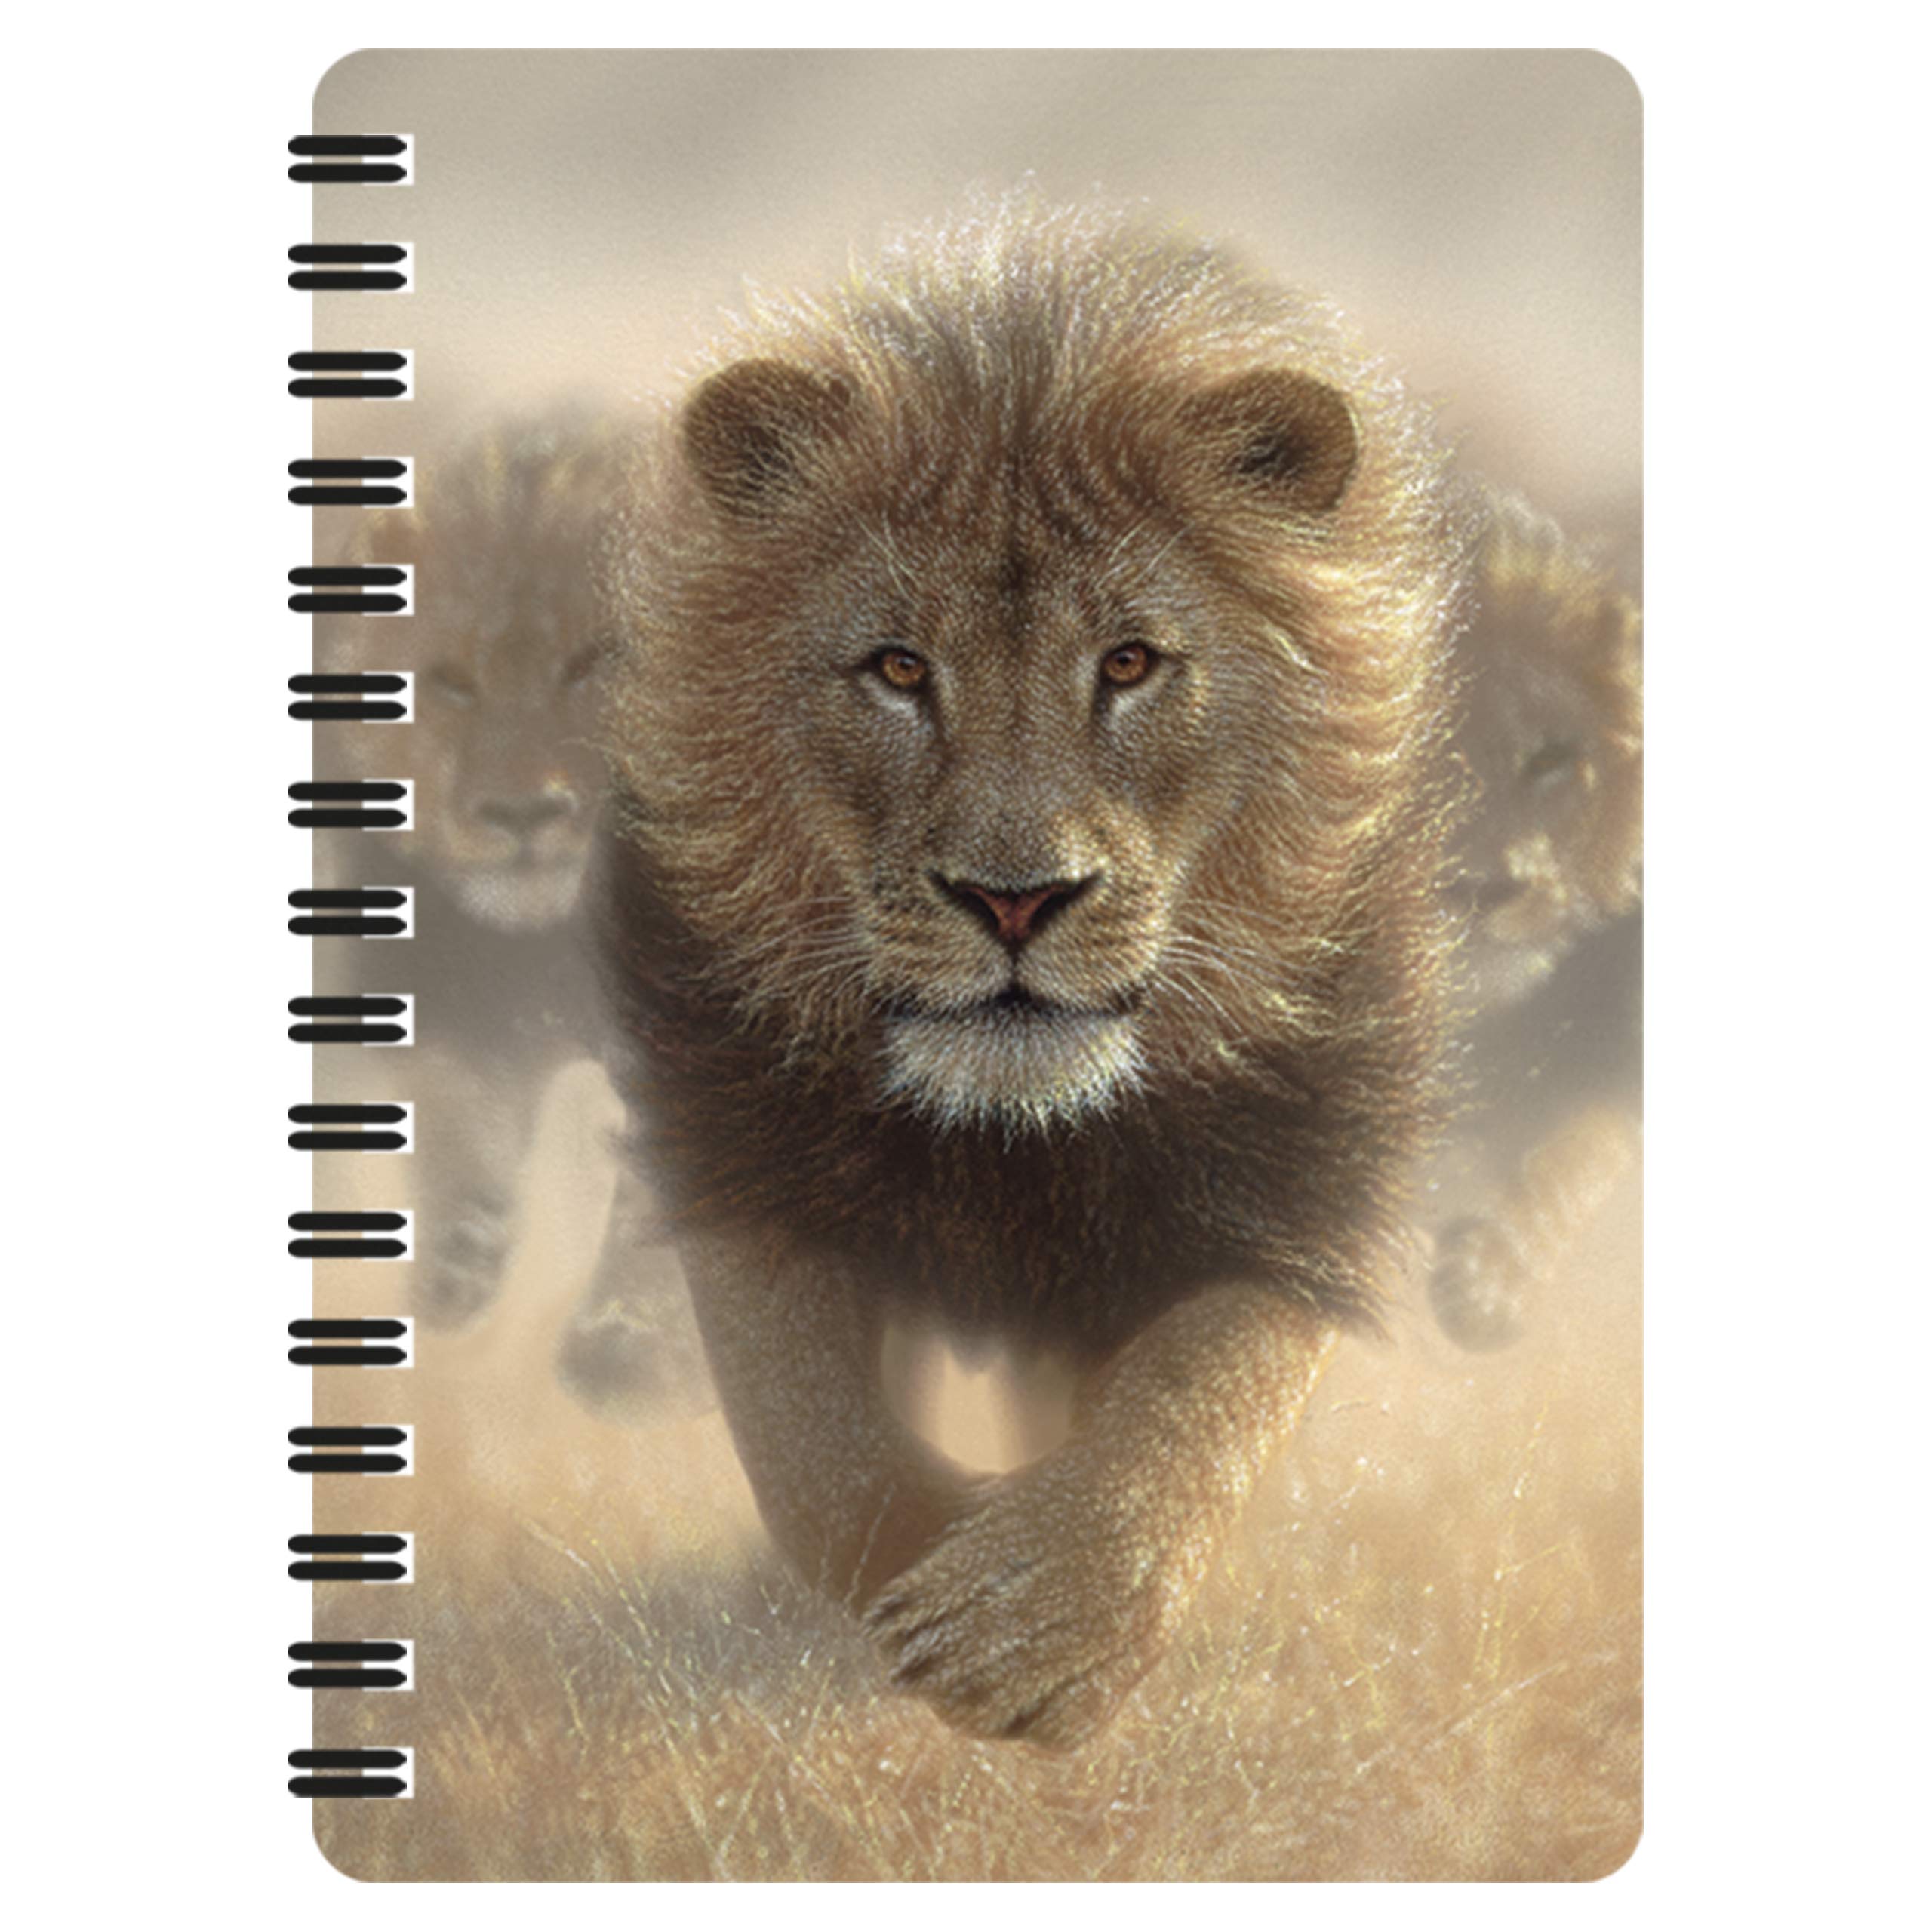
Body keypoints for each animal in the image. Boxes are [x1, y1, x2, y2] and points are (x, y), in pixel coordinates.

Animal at [595, 203, 1475, 1748]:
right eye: (897, 668)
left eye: (1128, 663)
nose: (1016, 898)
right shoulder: (735, 1130)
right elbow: (815, 1448)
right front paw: (934, 1559)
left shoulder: (1301, 1173)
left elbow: (1200, 1399)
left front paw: (1030, 1626)